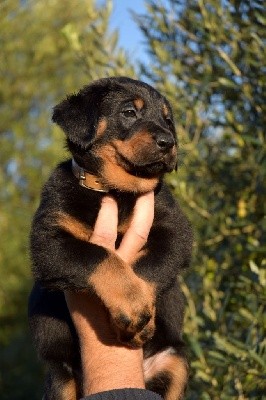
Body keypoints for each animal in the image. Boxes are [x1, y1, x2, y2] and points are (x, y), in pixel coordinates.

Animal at [28, 76, 192, 398]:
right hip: (61, 377)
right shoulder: (49, 243)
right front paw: (132, 304)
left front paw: (142, 315)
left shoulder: (174, 231)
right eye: (129, 112)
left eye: (168, 120)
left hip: (175, 363)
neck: (118, 191)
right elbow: (100, 256)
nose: (169, 142)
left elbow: (148, 268)